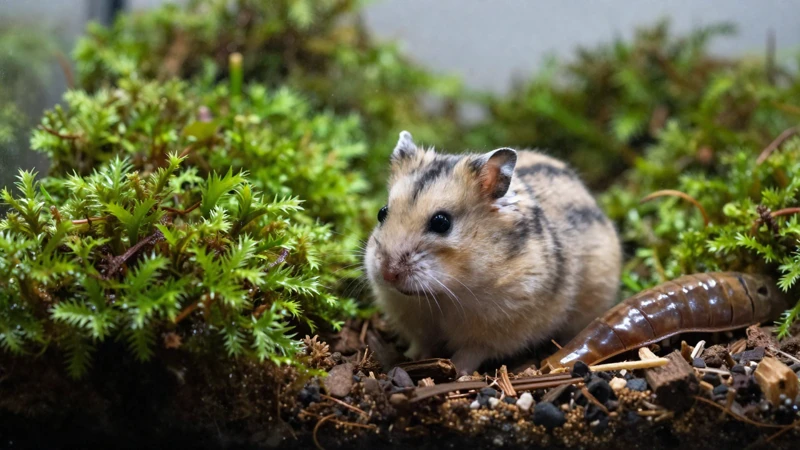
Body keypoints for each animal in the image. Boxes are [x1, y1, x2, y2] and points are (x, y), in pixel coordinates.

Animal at [364, 131, 622, 376]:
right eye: (382, 212)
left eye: (441, 222)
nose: (388, 273)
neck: (443, 294)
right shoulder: (414, 320)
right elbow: (421, 343)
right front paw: (411, 358)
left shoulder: (501, 325)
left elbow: (472, 351)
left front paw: (458, 371)